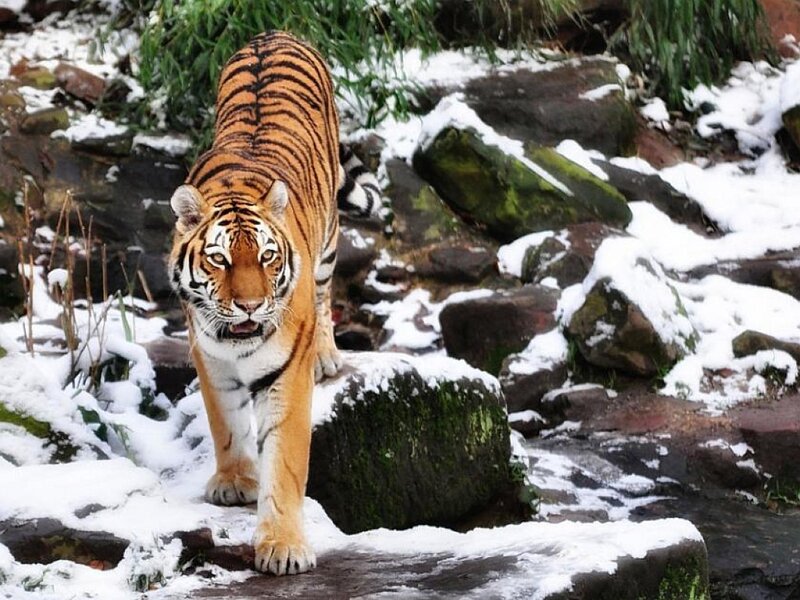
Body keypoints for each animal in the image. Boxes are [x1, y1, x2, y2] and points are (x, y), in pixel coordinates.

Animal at [168, 31, 379, 576]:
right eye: (219, 259)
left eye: (267, 257)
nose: (249, 306)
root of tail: (275, 33)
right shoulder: (210, 357)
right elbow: (224, 422)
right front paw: (234, 483)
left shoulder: (286, 373)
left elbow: (284, 457)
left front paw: (283, 546)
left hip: (328, 244)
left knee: (326, 297)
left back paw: (328, 356)